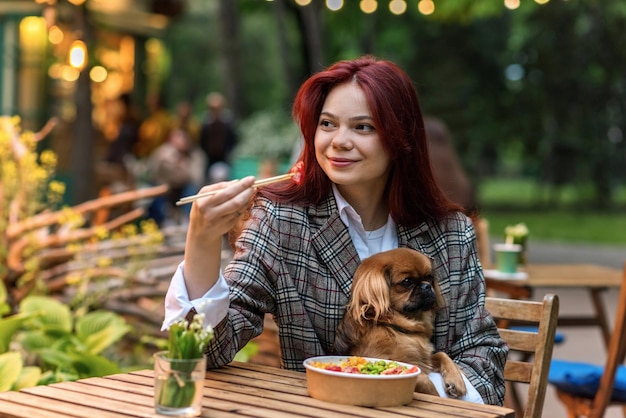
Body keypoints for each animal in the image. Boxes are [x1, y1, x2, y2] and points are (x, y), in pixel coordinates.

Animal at [334, 248, 466, 398]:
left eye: (429, 278)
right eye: (407, 281)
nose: (427, 286)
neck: (398, 328)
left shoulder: (423, 360)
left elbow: (441, 354)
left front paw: (456, 380)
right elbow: (424, 380)